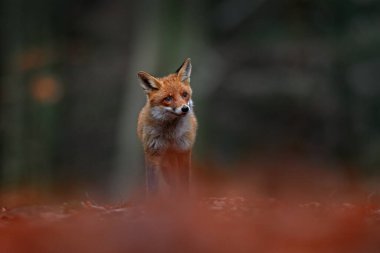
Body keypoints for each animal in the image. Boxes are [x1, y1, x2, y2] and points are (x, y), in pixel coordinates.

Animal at [137, 57, 197, 196]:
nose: (185, 109)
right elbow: (152, 185)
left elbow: (184, 180)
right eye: (168, 98)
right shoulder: (152, 153)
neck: (171, 135)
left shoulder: (184, 150)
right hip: (165, 163)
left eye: (184, 94)